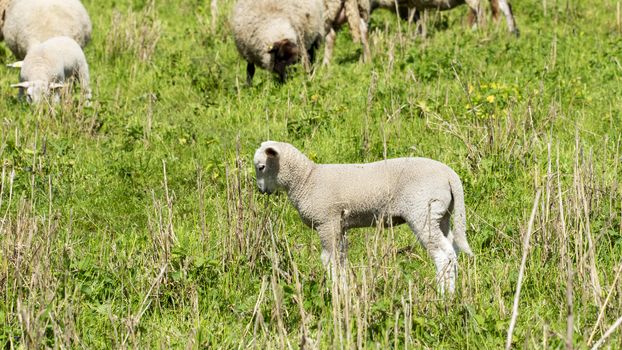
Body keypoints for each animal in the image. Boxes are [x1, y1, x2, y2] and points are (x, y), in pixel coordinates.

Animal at [254, 141, 472, 294]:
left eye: (261, 167)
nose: (261, 190)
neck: (306, 179)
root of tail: (450, 175)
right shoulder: (340, 225)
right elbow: (341, 258)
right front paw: (345, 289)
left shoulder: (327, 222)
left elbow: (328, 259)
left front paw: (336, 291)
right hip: (441, 215)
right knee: (451, 250)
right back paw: (451, 293)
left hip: (421, 212)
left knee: (443, 255)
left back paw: (443, 296)